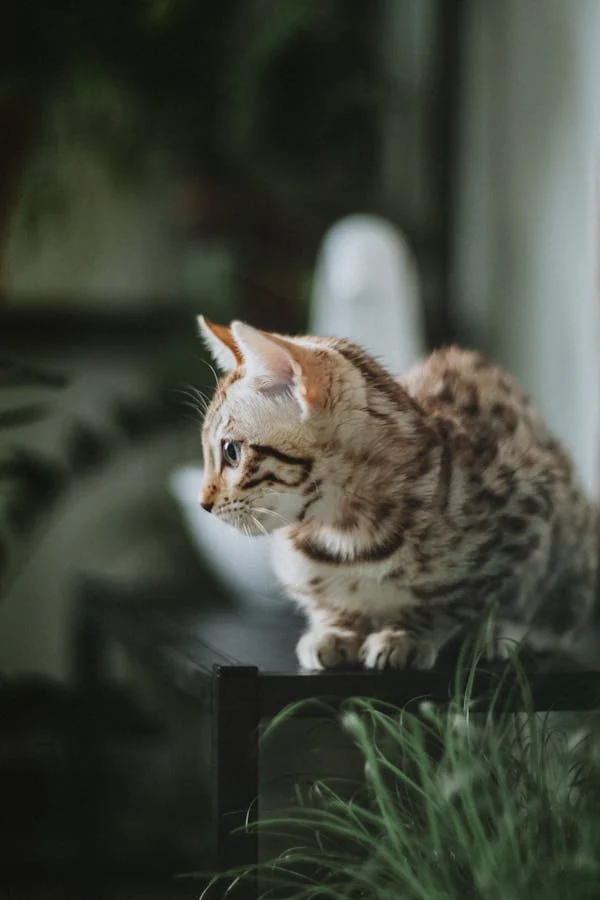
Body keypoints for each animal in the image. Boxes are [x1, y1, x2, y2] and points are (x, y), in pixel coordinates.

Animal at [197, 320, 596, 672]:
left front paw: (407, 635)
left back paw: (508, 634)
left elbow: (457, 598)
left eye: (231, 452)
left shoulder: (530, 505)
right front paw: (337, 629)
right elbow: (324, 599)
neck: (345, 532)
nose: (204, 504)